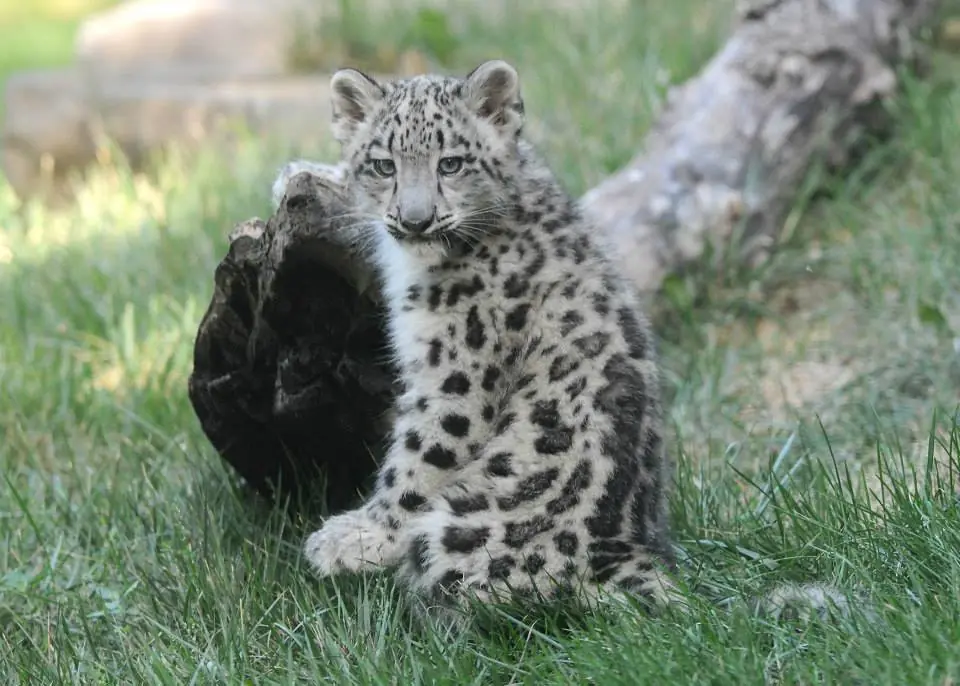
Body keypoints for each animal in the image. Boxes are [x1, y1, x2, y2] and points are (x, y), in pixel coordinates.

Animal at [272, 59, 870, 627]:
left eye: (451, 164)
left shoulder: (457, 373)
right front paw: (297, 174)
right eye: (383, 165)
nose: (415, 220)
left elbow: (419, 459)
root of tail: (627, 555)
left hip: (465, 534)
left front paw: (355, 538)